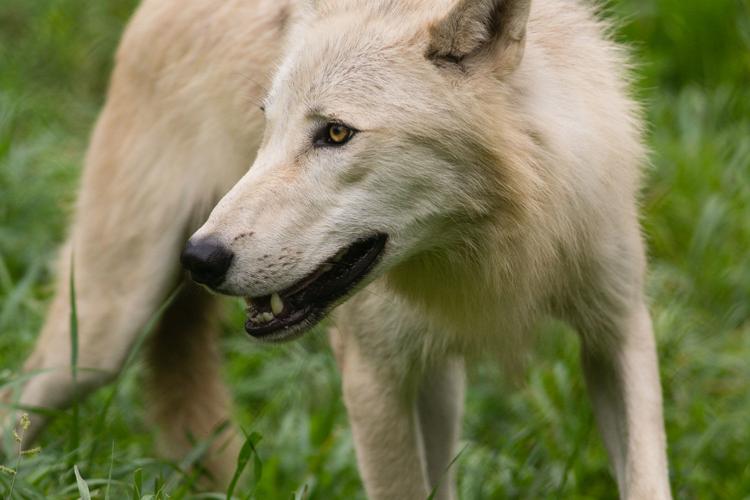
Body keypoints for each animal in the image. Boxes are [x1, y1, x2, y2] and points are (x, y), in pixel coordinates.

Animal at [2, 0, 672, 498]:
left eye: (337, 133)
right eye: (267, 126)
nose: (200, 259)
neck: (497, 243)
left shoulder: (619, 329)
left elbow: (646, 477)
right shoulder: (372, 376)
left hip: (437, 380)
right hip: (100, 336)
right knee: (18, 398)